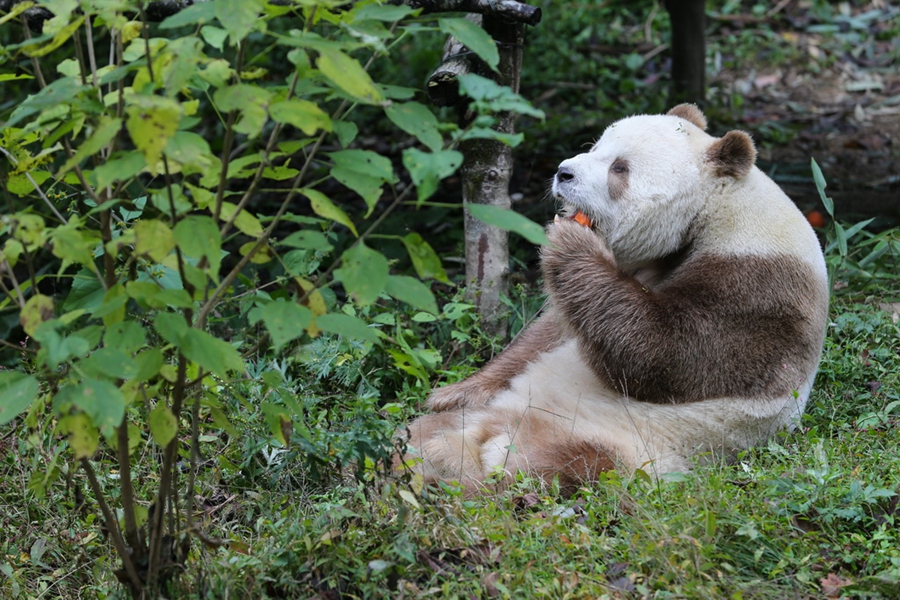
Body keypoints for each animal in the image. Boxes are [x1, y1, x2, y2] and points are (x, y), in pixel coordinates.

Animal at [400, 104, 828, 492]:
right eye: (595, 147)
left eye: (619, 168)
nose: (563, 172)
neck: (711, 210)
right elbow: (552, 331)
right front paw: (449, 392)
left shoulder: (759, 285)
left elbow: (670, 356)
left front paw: (570, 242)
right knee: (426, 430)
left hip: (628, 439)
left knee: (564, 463)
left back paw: (475, 473)